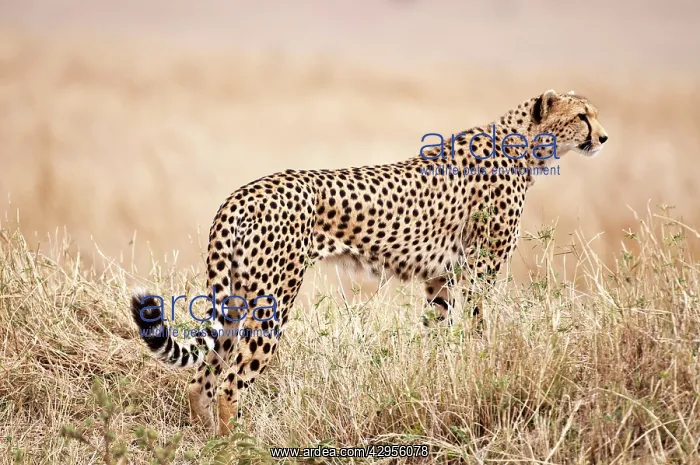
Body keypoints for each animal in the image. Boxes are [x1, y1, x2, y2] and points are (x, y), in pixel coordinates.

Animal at [131, 89, 609, 436]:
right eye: (583, 116)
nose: (603, 138)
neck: (522, 146)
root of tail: (241, 193)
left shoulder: (440, 279)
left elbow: (435, 334)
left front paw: (430, 381)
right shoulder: (478, 273)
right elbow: (479, 329)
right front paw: (486, 368)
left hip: (235, 297)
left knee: (202, 379)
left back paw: (205, 437)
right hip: (271, 300)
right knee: (230, 384)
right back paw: (237, 443)